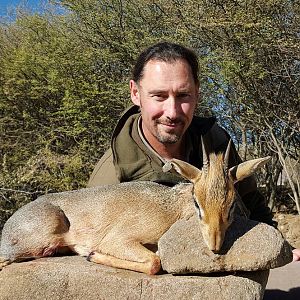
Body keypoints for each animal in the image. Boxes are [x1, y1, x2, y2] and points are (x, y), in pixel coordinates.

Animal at [0, 141, 270, 274]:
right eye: (197, 202)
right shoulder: (118, 238)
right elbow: (155, 263)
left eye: (232, 204)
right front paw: (92, 254)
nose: (214, 245)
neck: (172, 208)